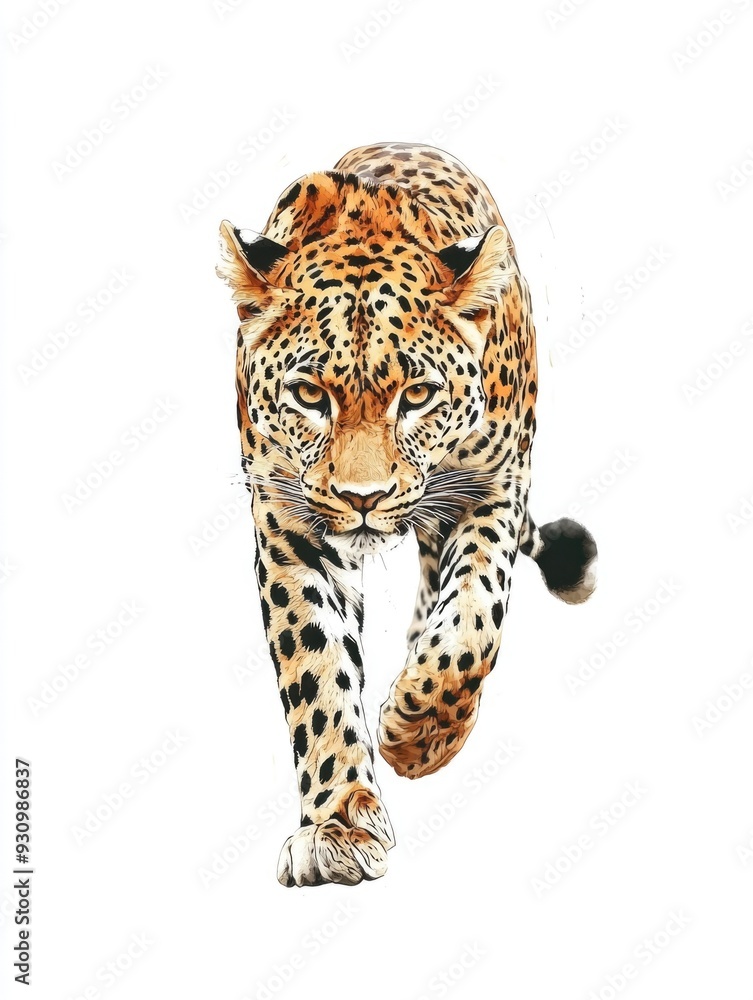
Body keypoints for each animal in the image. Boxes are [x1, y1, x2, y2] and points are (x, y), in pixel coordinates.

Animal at [217, 142, 597, 887]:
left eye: (416, 395)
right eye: (310, 395)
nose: (362, 497)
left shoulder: (492, 489)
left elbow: (474, 617)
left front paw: (419, 730)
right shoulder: (288, 524)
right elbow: (317, 670)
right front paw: (339, 823)